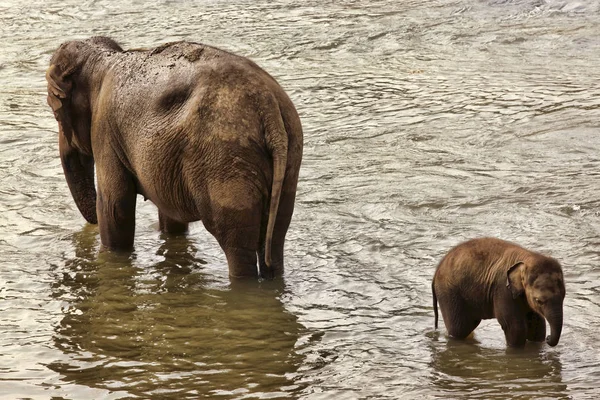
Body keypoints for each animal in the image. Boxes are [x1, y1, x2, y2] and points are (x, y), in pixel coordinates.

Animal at [45, 37, 304, 280]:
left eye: (55, 111)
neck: (104, 58)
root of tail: (268, 105)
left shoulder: (105, 130)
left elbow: (114, 206)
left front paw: (112, 258)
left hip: (227, 161)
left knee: (236, 244)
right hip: (289, 153)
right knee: (276, 234)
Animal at [432, 238, 568, 346]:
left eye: (563, 296)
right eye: (538, 300)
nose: (548, 338)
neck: (527, 256)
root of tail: (436, 271)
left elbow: (537, 325)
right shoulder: (503, 290)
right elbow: (515, 328)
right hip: (449, 294)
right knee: (459, 329)